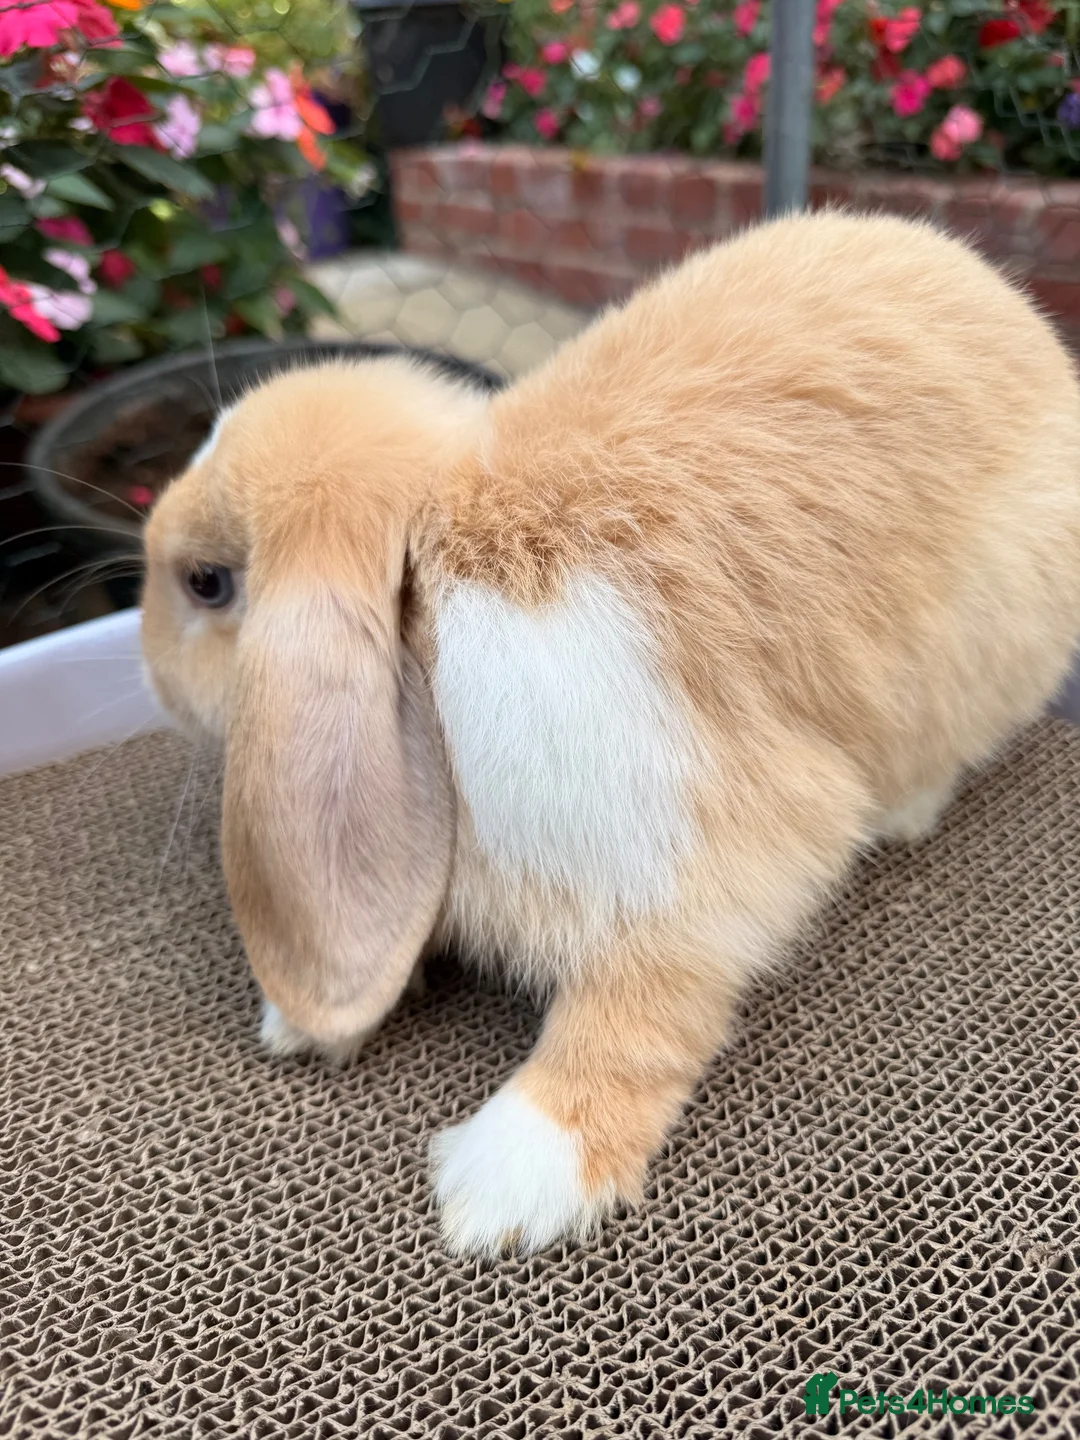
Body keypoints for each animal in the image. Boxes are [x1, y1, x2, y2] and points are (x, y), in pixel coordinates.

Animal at [141, 210, 1080, 1257]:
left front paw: (504, 1187)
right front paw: (310, 1023)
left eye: (206, 583)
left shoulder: (702, 852)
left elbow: (635, 1012)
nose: (144, 669)